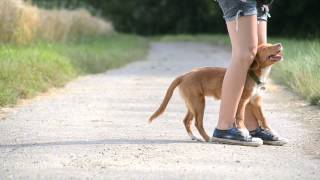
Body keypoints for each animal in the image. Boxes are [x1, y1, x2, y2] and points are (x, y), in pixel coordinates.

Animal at [149, 43, 284, 142]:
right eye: (265, 48)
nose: (280, 44)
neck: (254, 74)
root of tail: (184, 75)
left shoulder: (256, 102)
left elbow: (263, 118)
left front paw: (272, 133)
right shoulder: (242, 101)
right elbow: (240, 117)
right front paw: (243, 131)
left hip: (192, 103)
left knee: (187, 120)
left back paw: (194, 137)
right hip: (199, 103)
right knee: (198, 123)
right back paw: (208, 138)